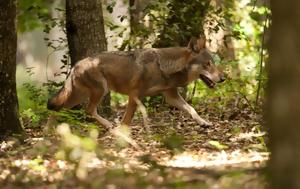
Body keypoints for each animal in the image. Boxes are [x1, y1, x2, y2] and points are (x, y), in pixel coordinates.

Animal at [47, 36, 225, 128]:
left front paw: (204, 122)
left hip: (80, 96)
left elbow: (191, 109)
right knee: (87, 110)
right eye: (207, 64)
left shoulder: (171, 96)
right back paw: (109, 126)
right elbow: (127, 119)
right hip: (99, 91)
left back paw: (50, 132)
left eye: (213, 63)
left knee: (58, 109)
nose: (223, 78)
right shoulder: (134, 95)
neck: (164, 66)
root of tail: (76, 64)